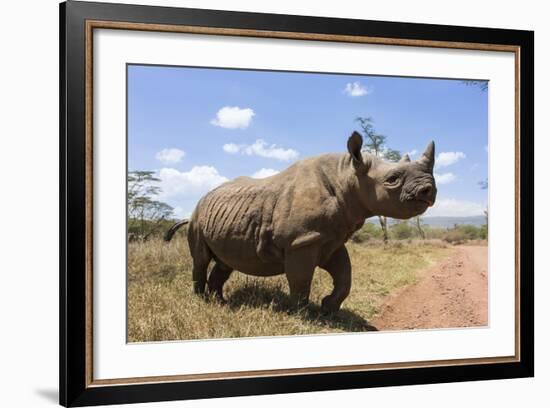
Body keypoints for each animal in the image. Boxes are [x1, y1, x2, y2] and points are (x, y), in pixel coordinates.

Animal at [166, 132, 438, 314]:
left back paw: (221, 303)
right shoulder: (302, 240)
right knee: (201, 259)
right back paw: (202, 301)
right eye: (392, 179)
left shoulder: (330, 239)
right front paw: (300, 313)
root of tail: (201, 201)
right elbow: (301, 279)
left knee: (225, 262)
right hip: (198, 217)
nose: (429, 190)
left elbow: (345, 276)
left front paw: (328, 308)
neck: (347, 176)